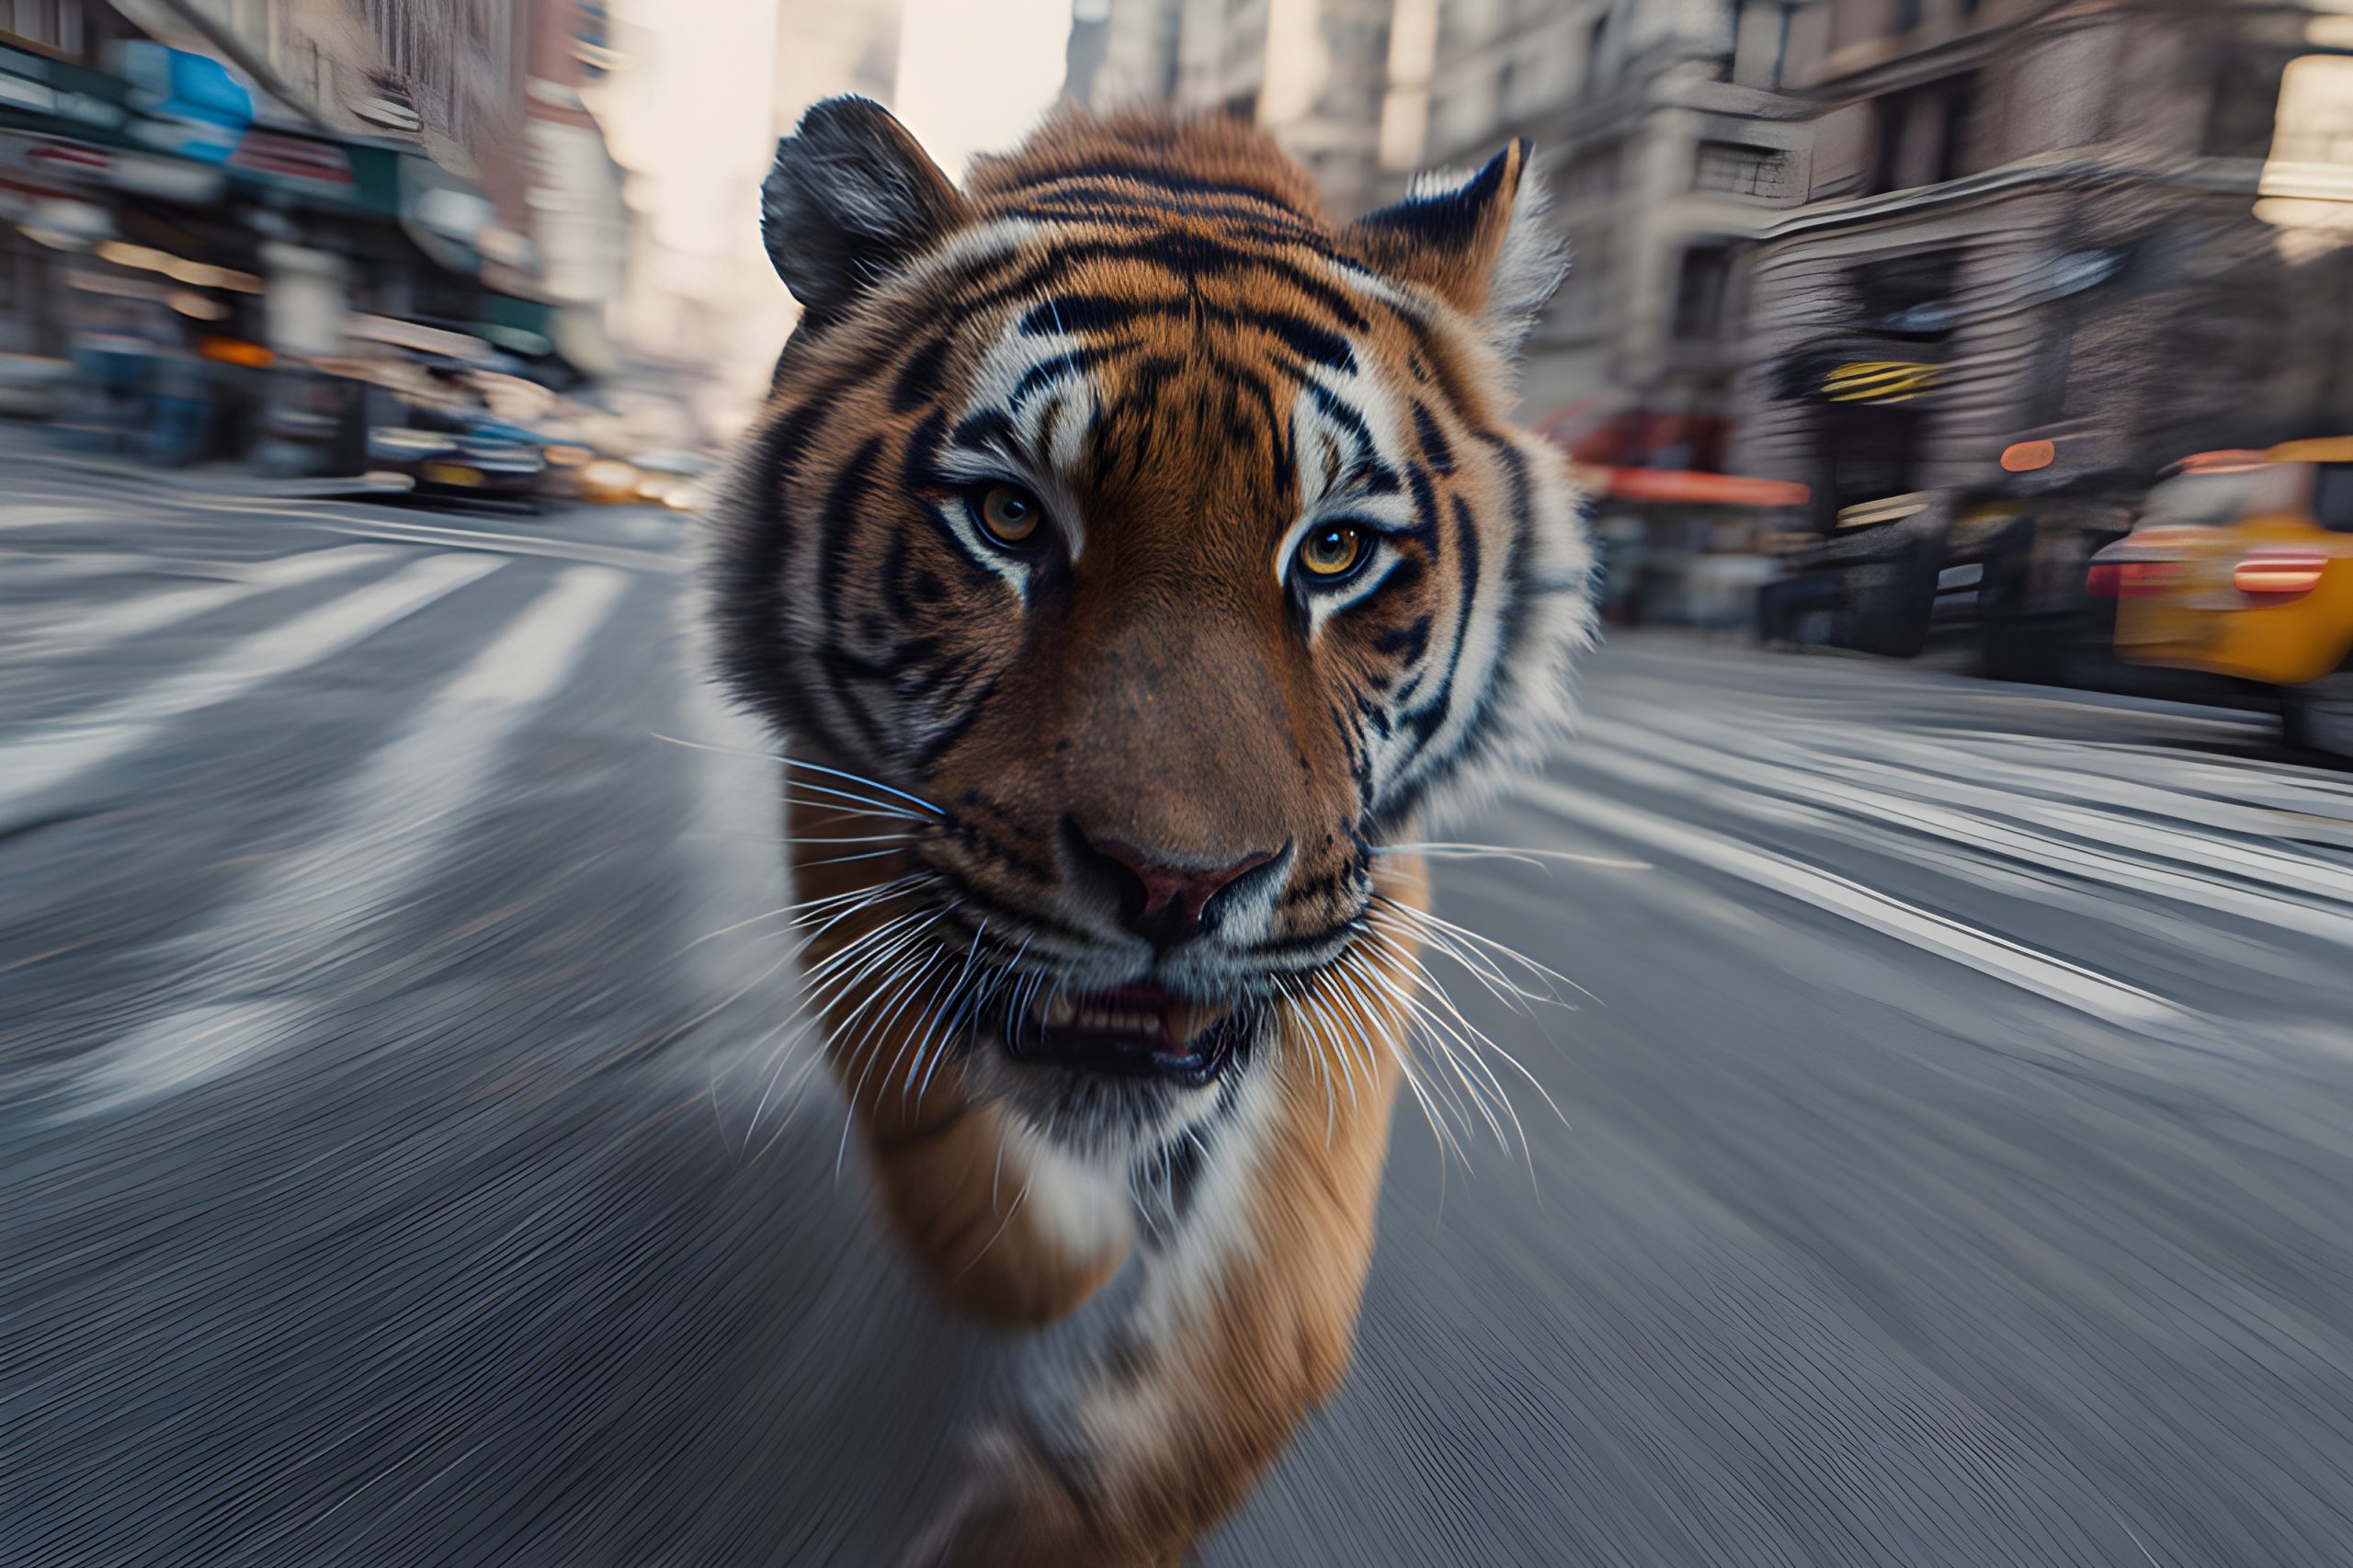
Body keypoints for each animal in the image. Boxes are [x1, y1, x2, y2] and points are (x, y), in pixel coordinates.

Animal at [708, 97, 1594, 1567]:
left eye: (1335, 551)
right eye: (1010, 516)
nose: (1179, 885)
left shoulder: (1357, 900)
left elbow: (1281, 1305)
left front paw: (1054, 1522)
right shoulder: (842, 810)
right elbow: (950, 1157)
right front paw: (1069, 1243)